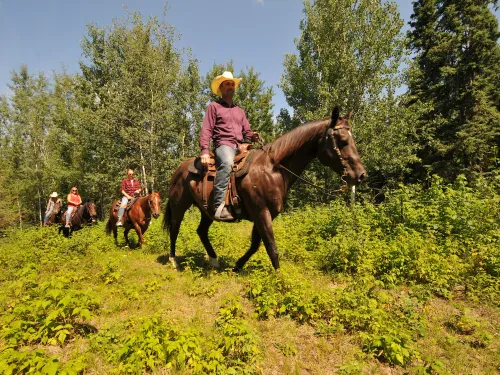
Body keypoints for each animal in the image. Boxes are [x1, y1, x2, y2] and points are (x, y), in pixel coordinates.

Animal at [164, 107, 368, 272]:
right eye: (342, 141)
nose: (361, 175)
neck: (273, 169)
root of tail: (179, 169)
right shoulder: (262, 212)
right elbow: (271, 246)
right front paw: (279, 278)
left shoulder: (262, 214)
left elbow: (256, 245)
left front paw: (237, 266)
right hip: (179, 206)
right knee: (174, 229)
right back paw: (174, 261)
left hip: (206, 211)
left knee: (201, 231)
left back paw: (214, 261)